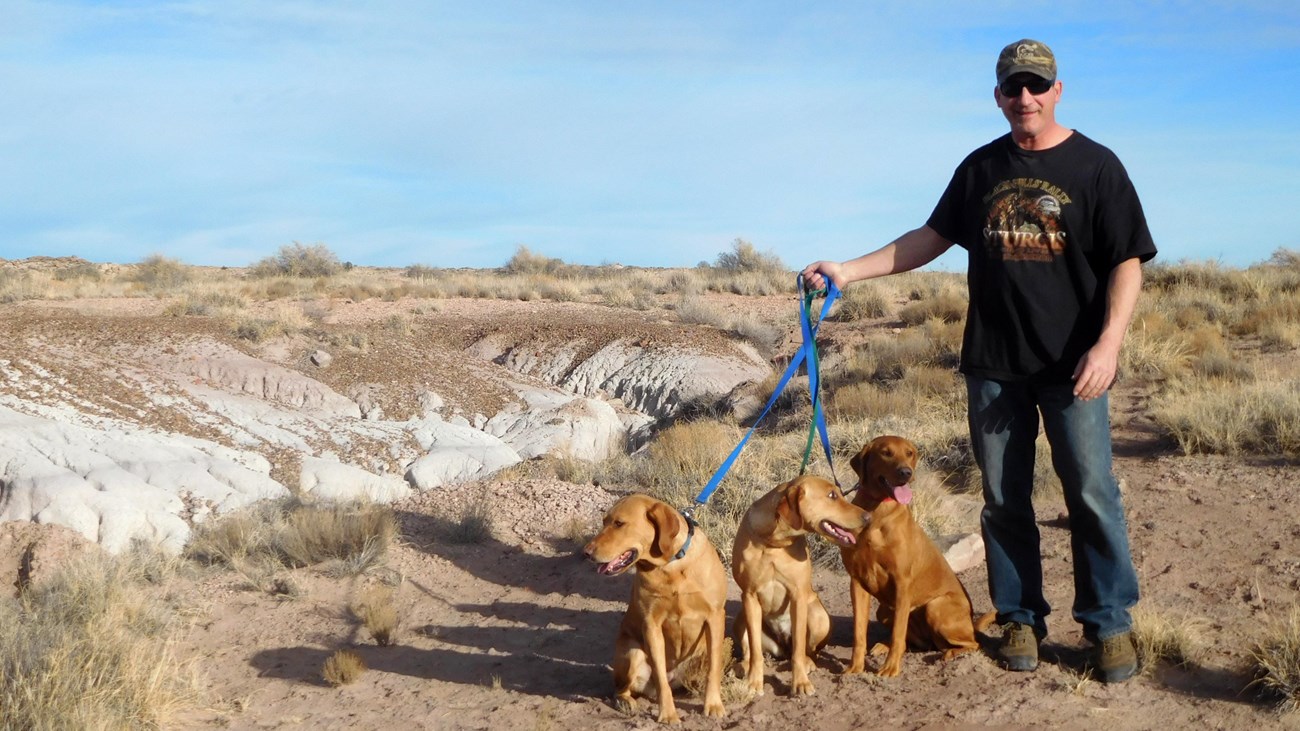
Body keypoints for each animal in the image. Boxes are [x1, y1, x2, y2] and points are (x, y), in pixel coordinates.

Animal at [585, 491, 728, 717]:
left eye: (619, 523)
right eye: (604, 522)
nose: (586, 553)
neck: (671, 566)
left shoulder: (715, 616)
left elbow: (714, 668)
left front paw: (713, 705)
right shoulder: (651, 625)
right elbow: (661, 679)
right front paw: (668, 715)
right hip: (632, 652)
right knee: (620, 688)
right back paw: (626, 702)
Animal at [733, 473, 863, 691]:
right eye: (832, 495)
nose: (868, 517)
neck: (774, 543)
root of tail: (782, 646)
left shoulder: (798, 595)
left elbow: (799, 650)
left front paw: (800, 682)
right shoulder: (749, 595)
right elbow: (756, 651)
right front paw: (754, 682)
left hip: (819, 617)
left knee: (808, 651)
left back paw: (808, 663)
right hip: (742, 616)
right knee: (751, 650)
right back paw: (742, 666)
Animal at [832, 431, 993, 676]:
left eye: (909, 453)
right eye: (886, 452)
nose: (906, 473)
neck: (878, 513)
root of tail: (970, 623)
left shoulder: (901, 582)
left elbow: (898, 633)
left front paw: (890, 668)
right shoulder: (857, 582)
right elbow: (859, 633)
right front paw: (855, 667)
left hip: (936, 607)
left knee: (973, 643)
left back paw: (950, 653)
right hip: (884, 610)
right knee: (919, 643)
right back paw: (884, 646)